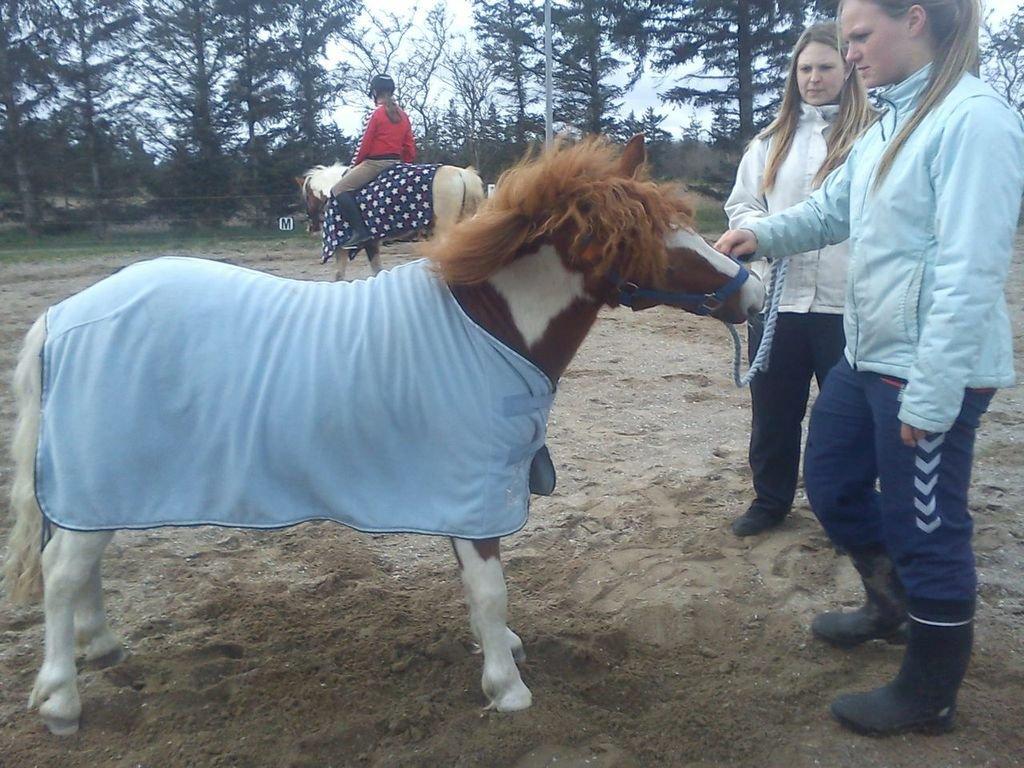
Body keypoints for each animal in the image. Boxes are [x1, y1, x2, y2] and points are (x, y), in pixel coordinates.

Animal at [299, 162, 485, 280]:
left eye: (307, 195)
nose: (311, 226)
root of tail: (462, 174)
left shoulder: (341, 247)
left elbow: (340, 275)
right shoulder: (372, 243)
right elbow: (377, 271)